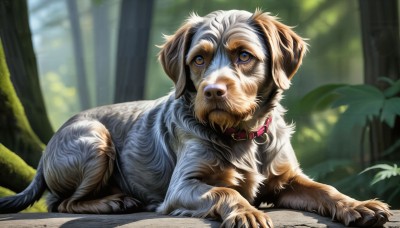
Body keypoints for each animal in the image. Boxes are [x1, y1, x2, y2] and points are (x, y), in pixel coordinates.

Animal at [0, 9, 392, 227]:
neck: (243, 134)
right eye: (199, 59)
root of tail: (48, 148)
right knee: (59, 201)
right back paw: (113, 200)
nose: (213, 91)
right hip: (95, 138)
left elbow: (327, 190)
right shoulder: (183, 185)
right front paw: (246, 212)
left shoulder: (288, 179)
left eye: (244, 56)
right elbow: (224, 189)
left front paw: (359, 205)